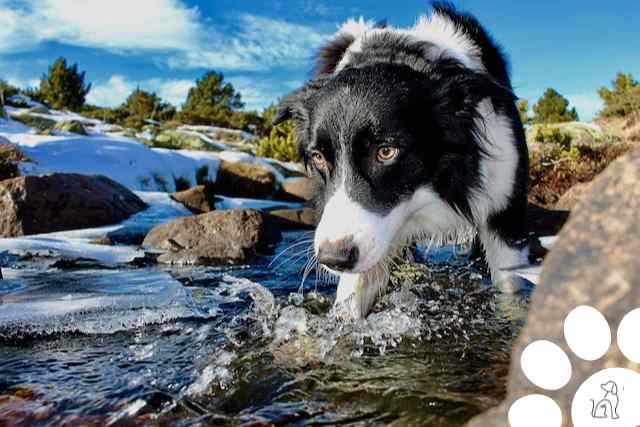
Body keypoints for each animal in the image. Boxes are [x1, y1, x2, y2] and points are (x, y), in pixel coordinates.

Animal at [276, 3, 528, 318]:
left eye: (386, 152)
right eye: (319, 157)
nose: (333, 258)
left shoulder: (503, 206)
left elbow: (510, 288)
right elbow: (350, 300)